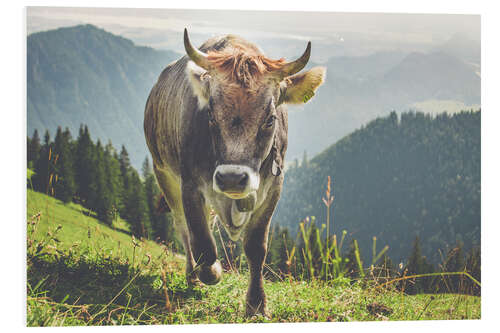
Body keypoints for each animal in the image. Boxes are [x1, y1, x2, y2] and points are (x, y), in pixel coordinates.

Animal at [143, 29, 326, 316]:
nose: (231, 178)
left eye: (270, 119)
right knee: (183, 227)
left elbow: (256, 247)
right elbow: (202, 243)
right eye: (210, 115)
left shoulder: (274, 188)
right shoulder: (189, 185)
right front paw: (212, 272)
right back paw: (193, 274)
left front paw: (257, 304)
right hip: (162, 171)